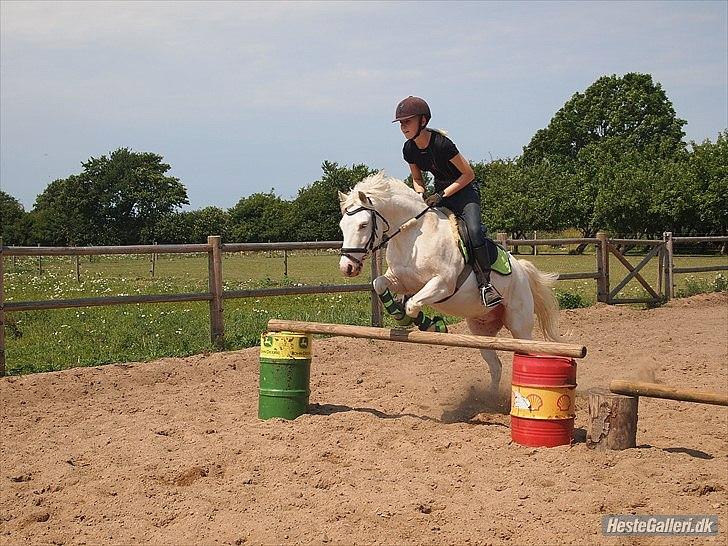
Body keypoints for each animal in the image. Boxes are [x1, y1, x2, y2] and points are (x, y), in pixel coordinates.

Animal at [336, 172, 564, 388]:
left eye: (363, 225)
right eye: (342, 225)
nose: (347, 267)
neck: (413, 235)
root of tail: (522, 270)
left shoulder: (442, 284)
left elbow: (412, 304)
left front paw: (433, 326)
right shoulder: (402, 280)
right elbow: (380, 285)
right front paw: (402, 317)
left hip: (519, 324)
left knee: (525, 350)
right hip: (481, 330)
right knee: (495, 365)